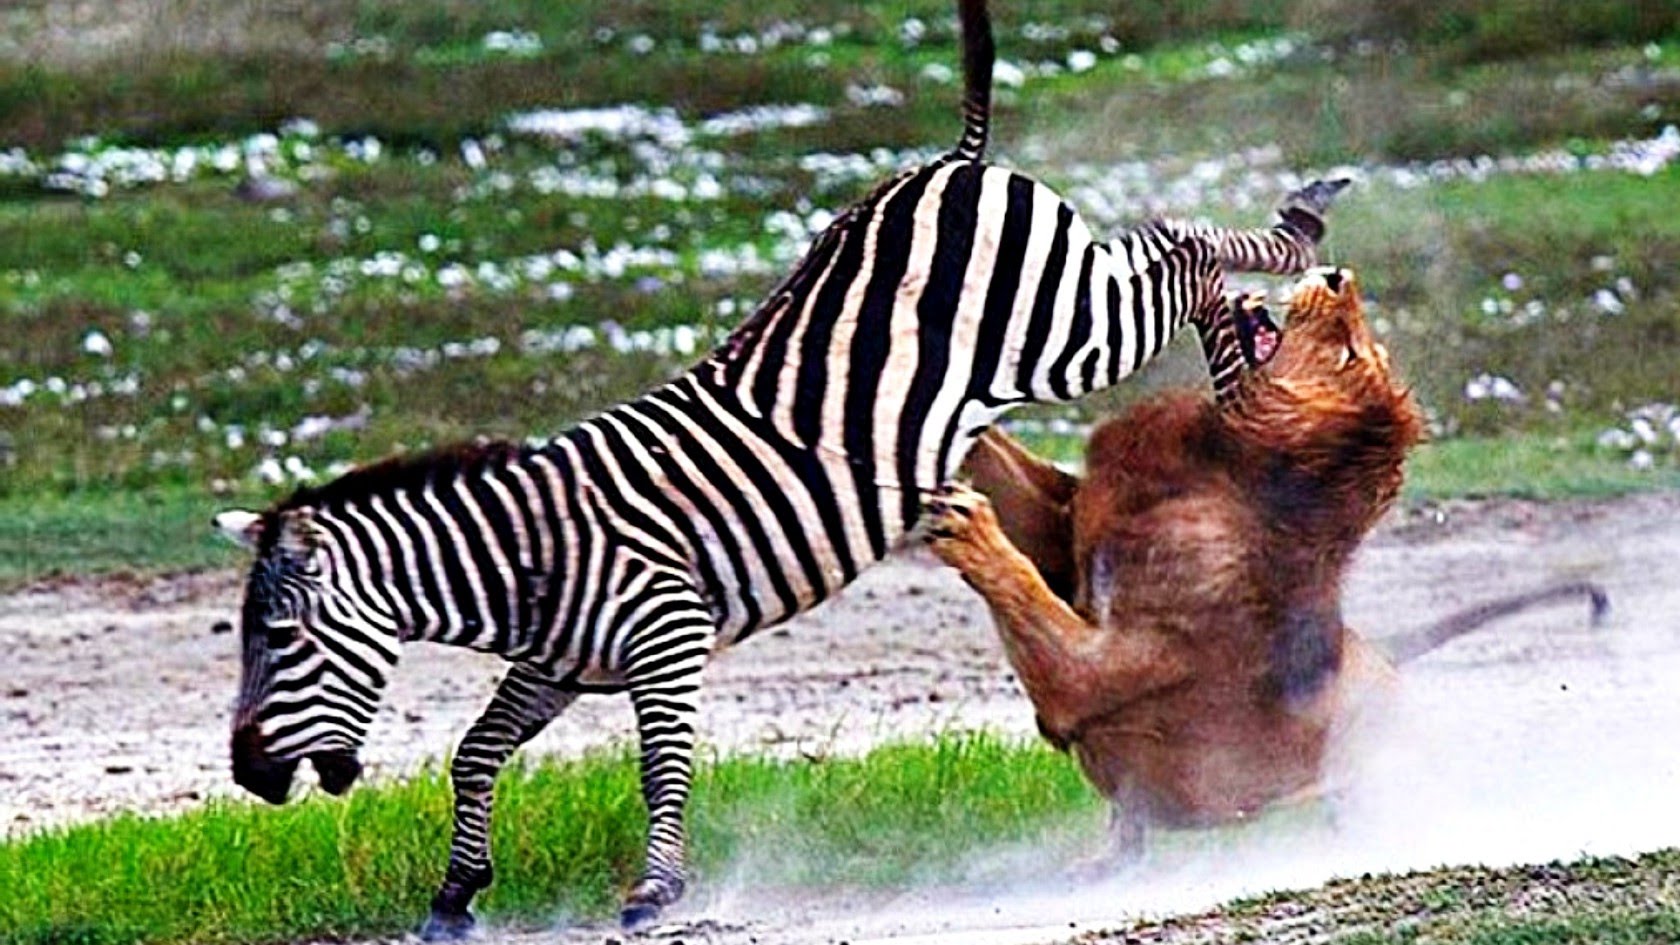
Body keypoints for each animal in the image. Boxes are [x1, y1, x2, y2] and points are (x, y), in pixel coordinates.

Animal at [212, 0, 1347, 936]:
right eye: (249, 640)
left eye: (278, 637)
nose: (250, 777)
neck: (528, 555)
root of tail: (949, 161)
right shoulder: (554, 664)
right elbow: (476, 750)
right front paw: (456, 894)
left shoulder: (666, 631)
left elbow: (659, 763)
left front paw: (655, 890)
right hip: (1068, 313)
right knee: (1171, 257)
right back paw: (1244, 343)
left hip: (1069, 326)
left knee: (1181, 250)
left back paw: (1293, 238)